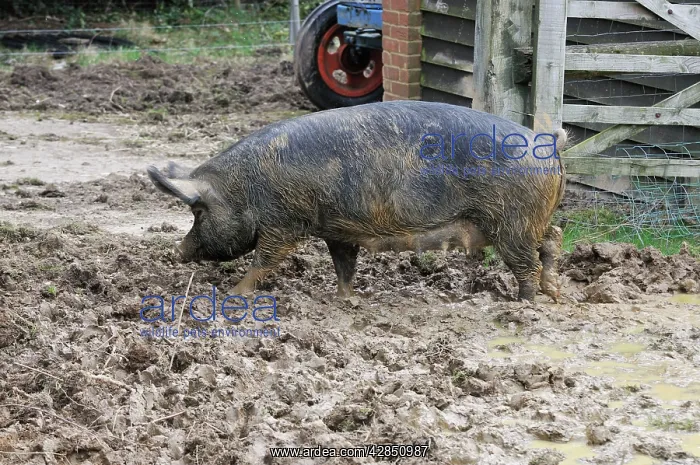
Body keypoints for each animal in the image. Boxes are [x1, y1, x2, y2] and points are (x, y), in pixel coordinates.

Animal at [147, 100, 566, 302]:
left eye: (197, 211)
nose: (176, 251)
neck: (246, 187)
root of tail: (548, 142)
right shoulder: (337, 229)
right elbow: (344, 266)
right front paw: (345, 299)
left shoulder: (284, 223)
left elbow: (264, 260)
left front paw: (234, 294)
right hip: (531, 220)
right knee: (554, 238)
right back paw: (552, 293)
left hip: (513, 222)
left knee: (527, 262)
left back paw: (523, 304)